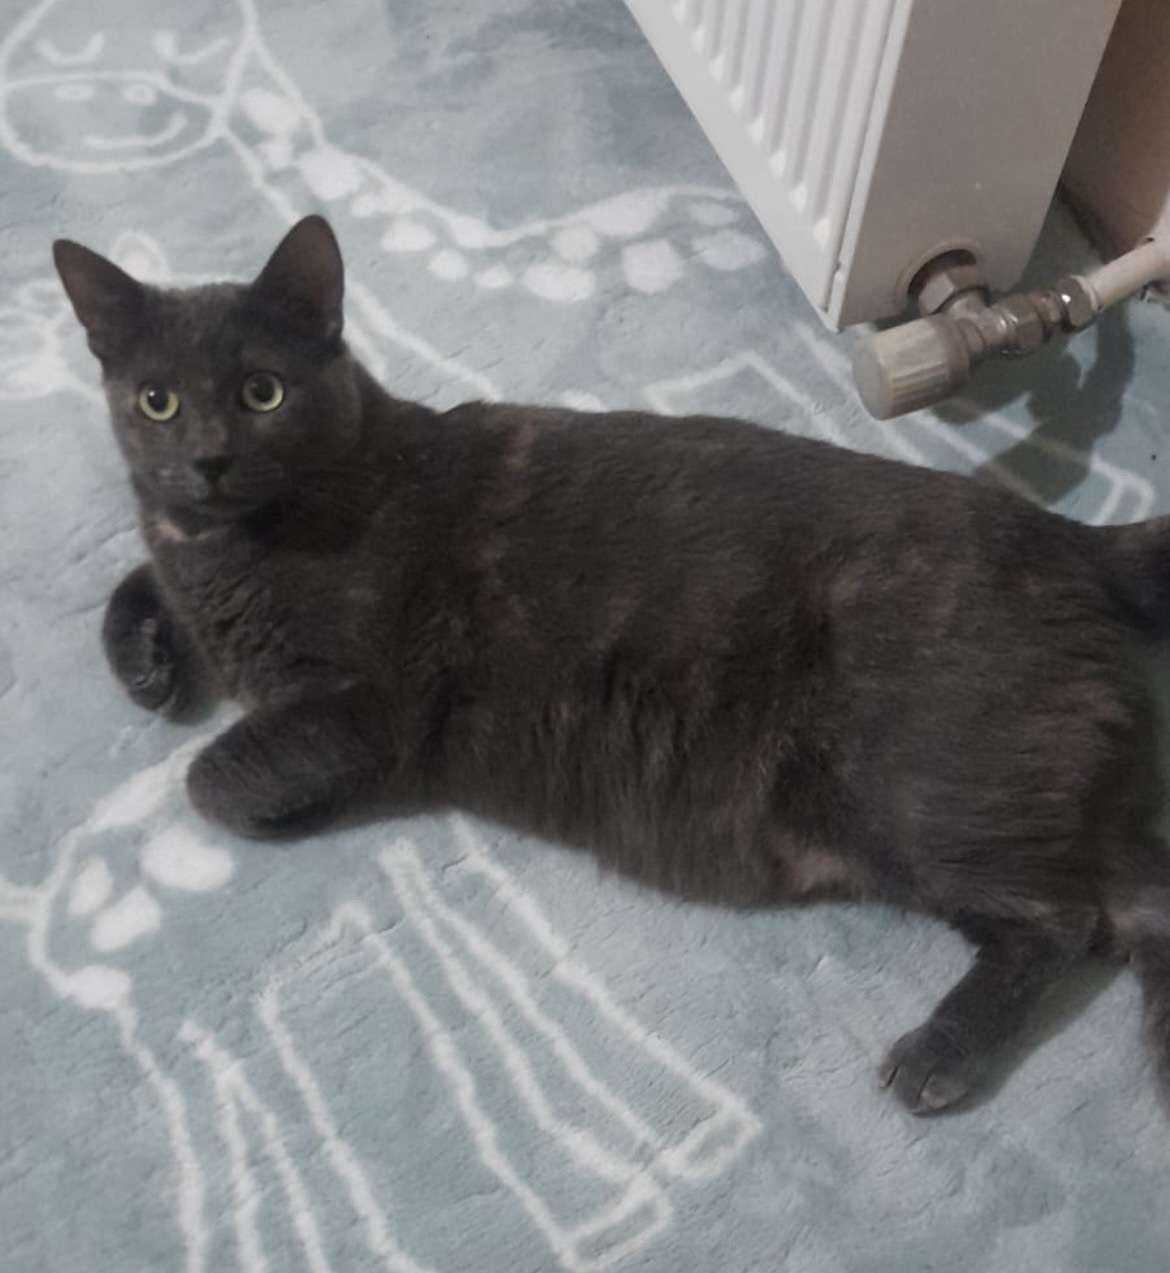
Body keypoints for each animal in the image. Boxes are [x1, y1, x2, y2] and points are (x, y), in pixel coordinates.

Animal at [53, 214, 1170, 1117]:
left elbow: (213, 777)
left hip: (915, 784)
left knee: (1064, 919)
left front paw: (273, 794)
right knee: (1134, 901)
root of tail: (1067, 533)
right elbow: (133, 581)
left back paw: (940, 1053)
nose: (205, 459)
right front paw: (148, 663)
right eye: (155, 402)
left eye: (262, 391)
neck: (236, 548)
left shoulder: (365, 701)